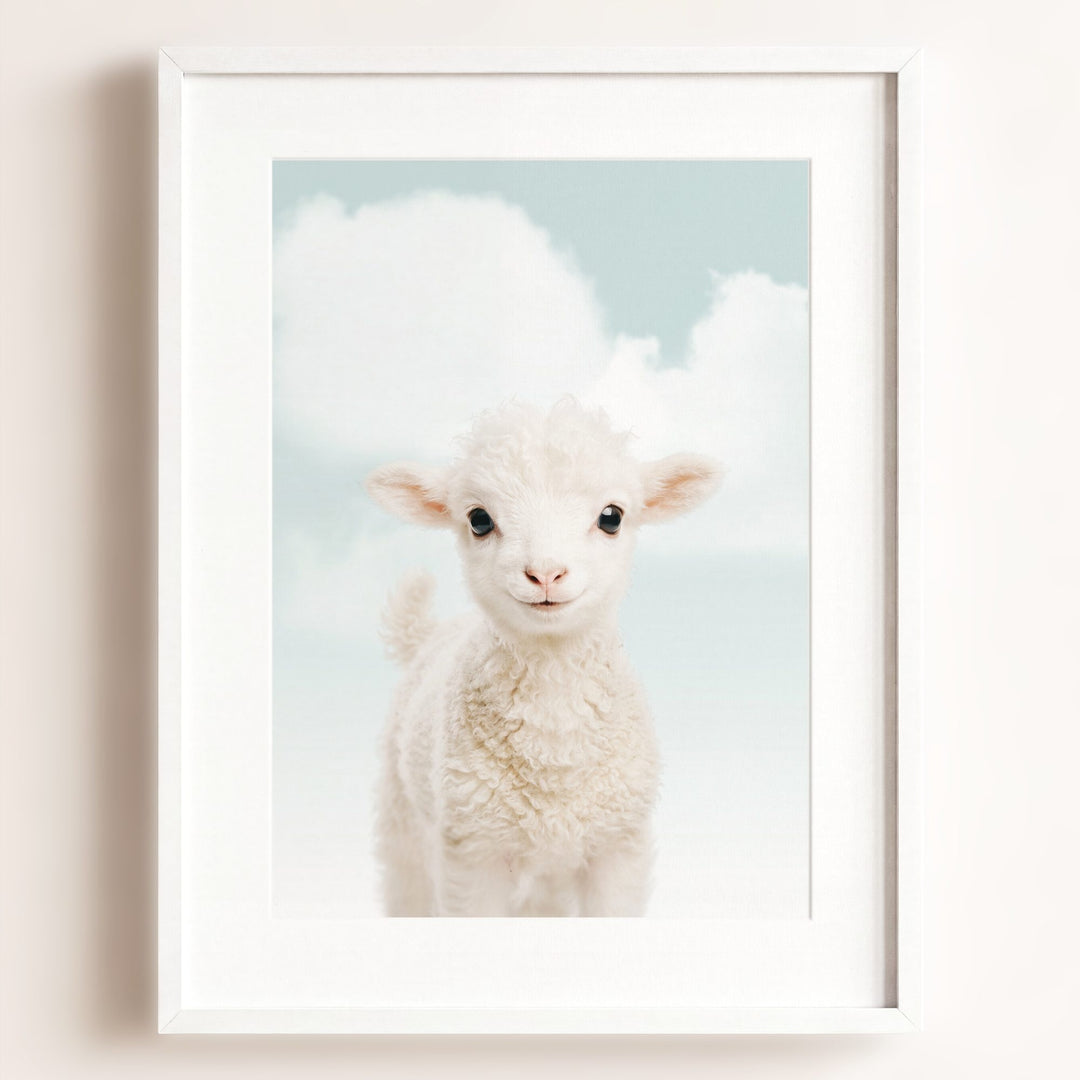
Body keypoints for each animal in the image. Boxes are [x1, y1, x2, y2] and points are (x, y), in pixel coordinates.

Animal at [366, 399, 721, 916]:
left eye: (612, 516)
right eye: (478, 519)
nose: (546, 573)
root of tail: (430, 633)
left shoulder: (617, 846)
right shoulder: (472, 853)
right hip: (404, 818)